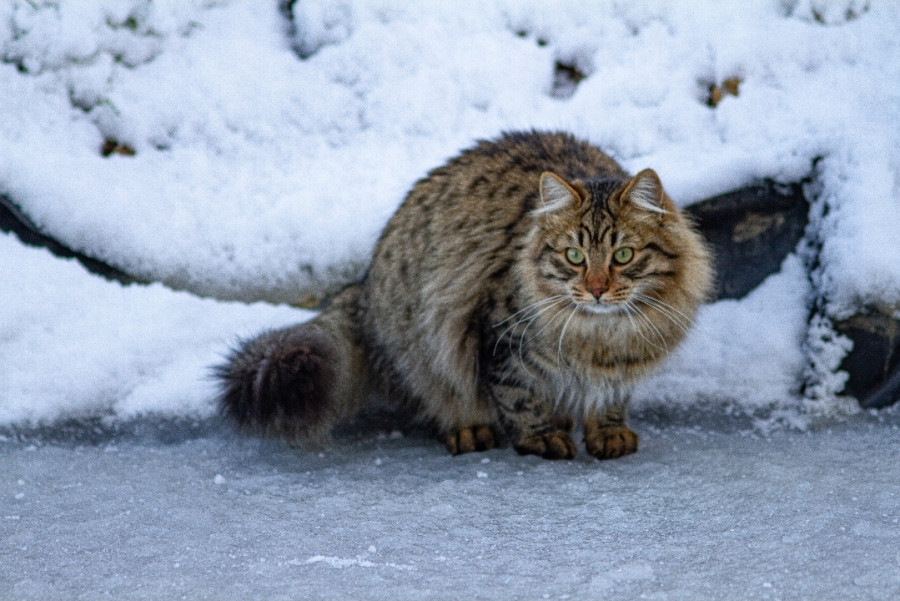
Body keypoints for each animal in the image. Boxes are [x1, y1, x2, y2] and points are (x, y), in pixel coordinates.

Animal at [216, 131, 713, 460]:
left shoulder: (624, 362)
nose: (594, 288)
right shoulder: (499, 337)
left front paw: (608, 432)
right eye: (573, 255)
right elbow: (519, 397)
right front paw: (540, 437)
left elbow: (609, 400)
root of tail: (364, 288)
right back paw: (470, 430)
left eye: (623, 255)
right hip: (416, 343)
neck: (601, 335)